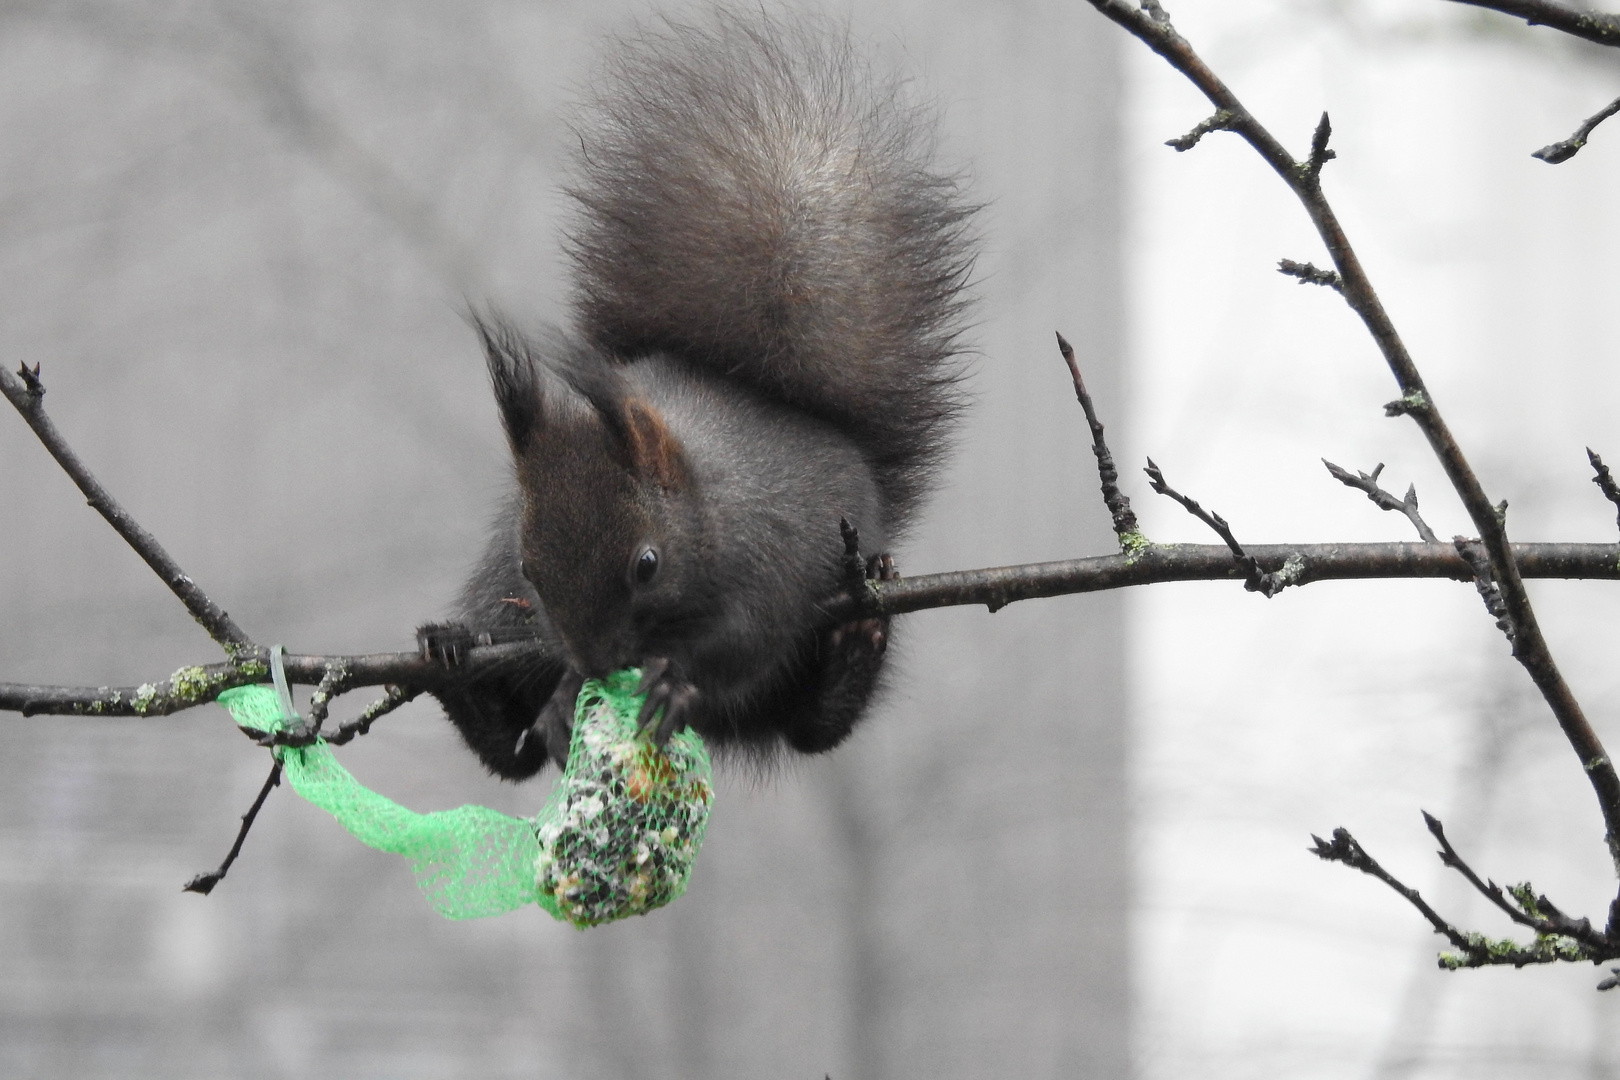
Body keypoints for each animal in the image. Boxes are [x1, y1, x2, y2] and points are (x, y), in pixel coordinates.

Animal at [417, 8, 972, 777]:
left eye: (647, 565)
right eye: (531, 567)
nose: (598, 662)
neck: (704, 503)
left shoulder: (769, 563)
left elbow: (741, 646)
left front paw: (674, 680)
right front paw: (563, 695)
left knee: (813, 726)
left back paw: (859, 637)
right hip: (499, 610)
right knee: (507, 749)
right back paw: (450, 657)